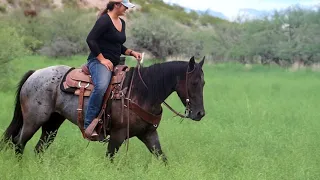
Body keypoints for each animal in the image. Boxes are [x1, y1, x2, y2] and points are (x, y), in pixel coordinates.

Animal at [0, 56, 205, 162]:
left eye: (203, 83)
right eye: (194, 82)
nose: (200, 114)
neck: (141, 92)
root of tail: (35, 73)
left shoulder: (149, 134)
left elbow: (162, 159)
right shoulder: (117, 135)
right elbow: (109, 160)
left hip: (52, 124)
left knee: (38, 148)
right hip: (33, 120)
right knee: (19, 143)